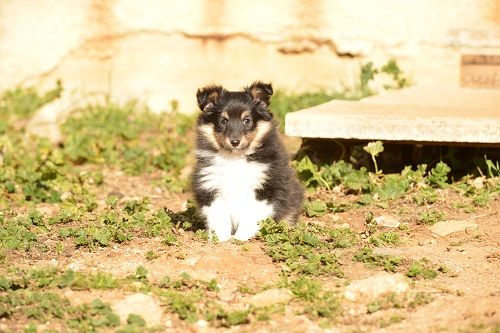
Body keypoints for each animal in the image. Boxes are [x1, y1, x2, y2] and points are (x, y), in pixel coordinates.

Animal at [192, 81, 304, 240]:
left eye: (247, 120)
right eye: (223, 121)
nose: (235, 142)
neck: (235, 158)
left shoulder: (264, 189)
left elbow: (251, 215)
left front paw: (240, 237)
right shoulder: (210, 186)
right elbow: (218, 215)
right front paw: (220, 238)